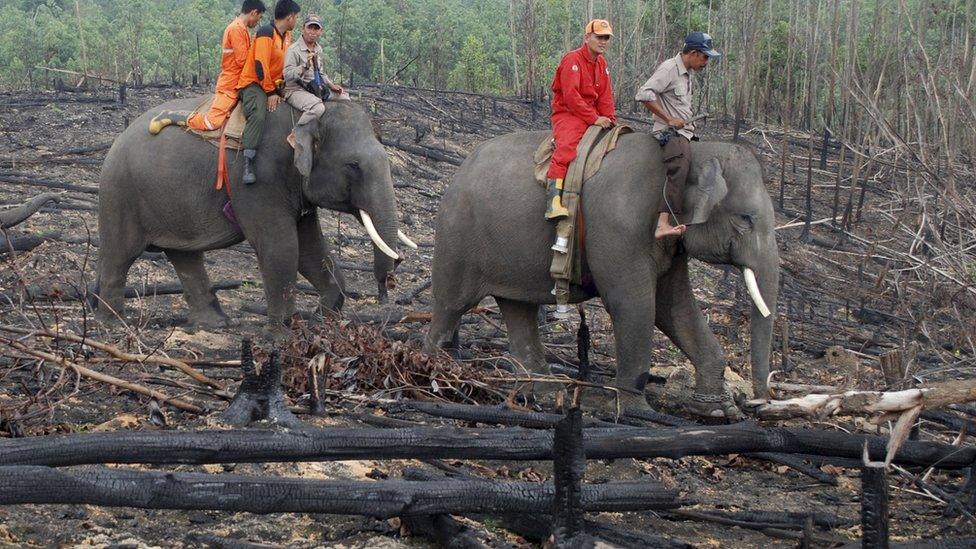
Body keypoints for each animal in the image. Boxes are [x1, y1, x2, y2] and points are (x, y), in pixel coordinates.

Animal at [94, 96, 408, 332]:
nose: (385, 290)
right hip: (120, 194)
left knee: (184, 255)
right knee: (120, 254)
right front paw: (281, 334)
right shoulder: (258, 177)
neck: (305, 116)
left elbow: (310, 248)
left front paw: (321, 320)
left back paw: (216, 324)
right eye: (353, 165)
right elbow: (282, 246)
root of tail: (115, 142)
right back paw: (113, 323)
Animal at [426, 131, 776, 418]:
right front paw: (637, 413)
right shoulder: (620, 225)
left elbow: (674, 307)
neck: (692, 154)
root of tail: (460, 169)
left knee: (518, 308)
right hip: (458, 235)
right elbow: (633, 304)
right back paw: (436, 377)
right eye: (745, 218)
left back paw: (545, 393)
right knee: (450, 304)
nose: (757, 404)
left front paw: (718, 411)